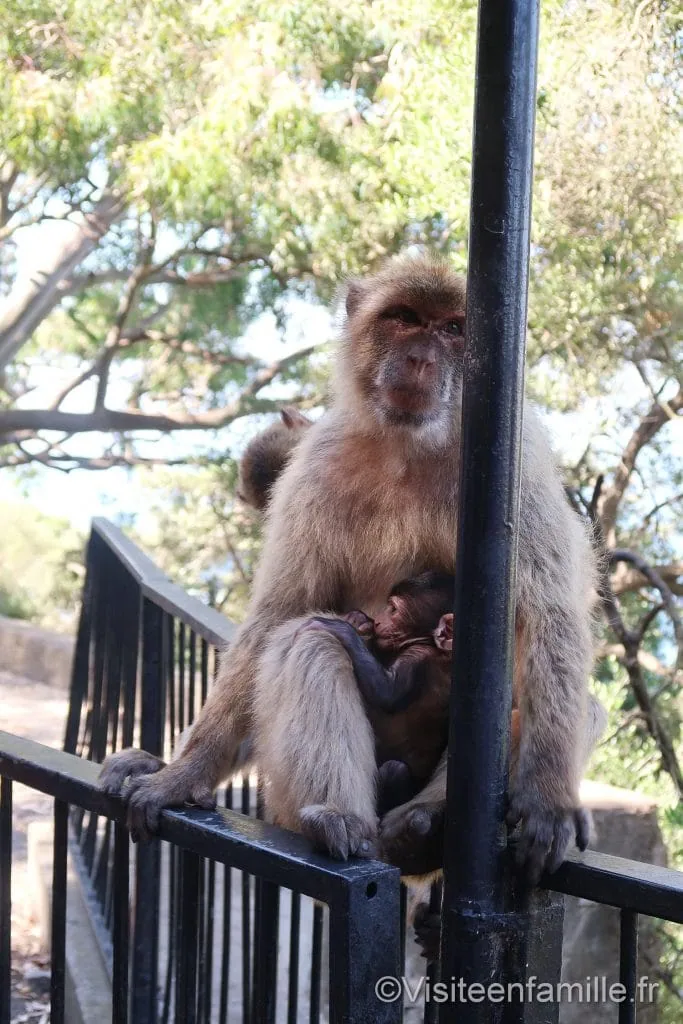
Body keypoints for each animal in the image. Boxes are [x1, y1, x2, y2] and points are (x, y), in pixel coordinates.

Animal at [100, 253, 600, 881]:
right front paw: (183, 771)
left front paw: (548, 801)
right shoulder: (317, 463)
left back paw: (420, 828)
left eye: (453, 329)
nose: (421, 357)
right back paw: (340, 819)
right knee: (307, 639)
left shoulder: (517, 465)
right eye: (405, 319)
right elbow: (280, 615)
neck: (409, 444)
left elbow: (547, 616)